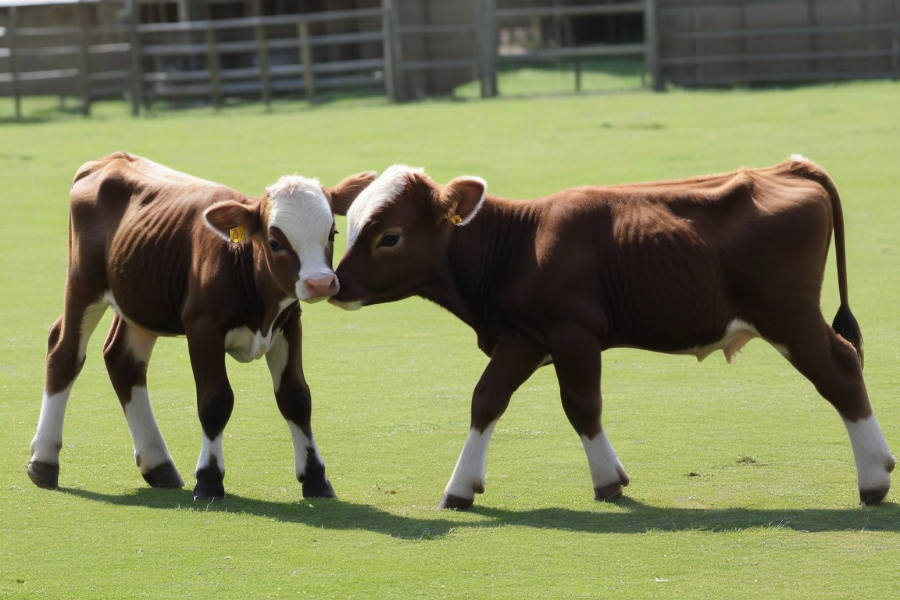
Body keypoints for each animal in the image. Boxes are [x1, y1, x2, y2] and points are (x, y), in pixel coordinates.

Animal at [26, 152, 374, 500]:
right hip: (83, 284)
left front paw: (315, 478)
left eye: (332, 233)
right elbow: (215, 401)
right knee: (65, 350)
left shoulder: (288, 323)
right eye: (275, 242)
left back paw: (158, 464)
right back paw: (44, 460)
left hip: (140, 298)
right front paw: (209, 479)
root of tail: (109, 159)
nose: (320, 283)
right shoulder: (202, 327)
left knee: (122, 360)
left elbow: (296, 398)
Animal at [330, 157, 892, 508]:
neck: (521, 243)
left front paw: (608, 480)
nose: (336, 283)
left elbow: (581, 405)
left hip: (788, 315)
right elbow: (487, 399)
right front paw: (461, 487)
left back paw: (873, 477)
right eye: (347, 227)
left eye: (389, 237)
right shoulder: (524, 338)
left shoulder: (573, 333)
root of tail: (784, 169)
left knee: (841, 370)